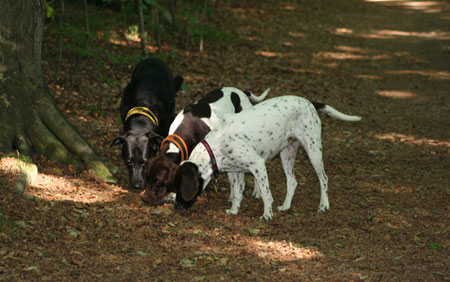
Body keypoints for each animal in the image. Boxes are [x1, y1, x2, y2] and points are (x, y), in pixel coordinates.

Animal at [172, 95, 362, 220]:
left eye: (181, 188)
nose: (176, 207)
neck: (217, 143)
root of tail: (309, 102)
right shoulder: (236, 172)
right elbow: (237, 193)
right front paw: (234, 210)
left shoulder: (258, 165)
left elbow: (265, 193)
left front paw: (267, 214)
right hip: (287, 154)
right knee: (292, 181)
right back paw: (286, 206)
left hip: (313, 151)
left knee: (324, 179)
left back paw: (324, 205)